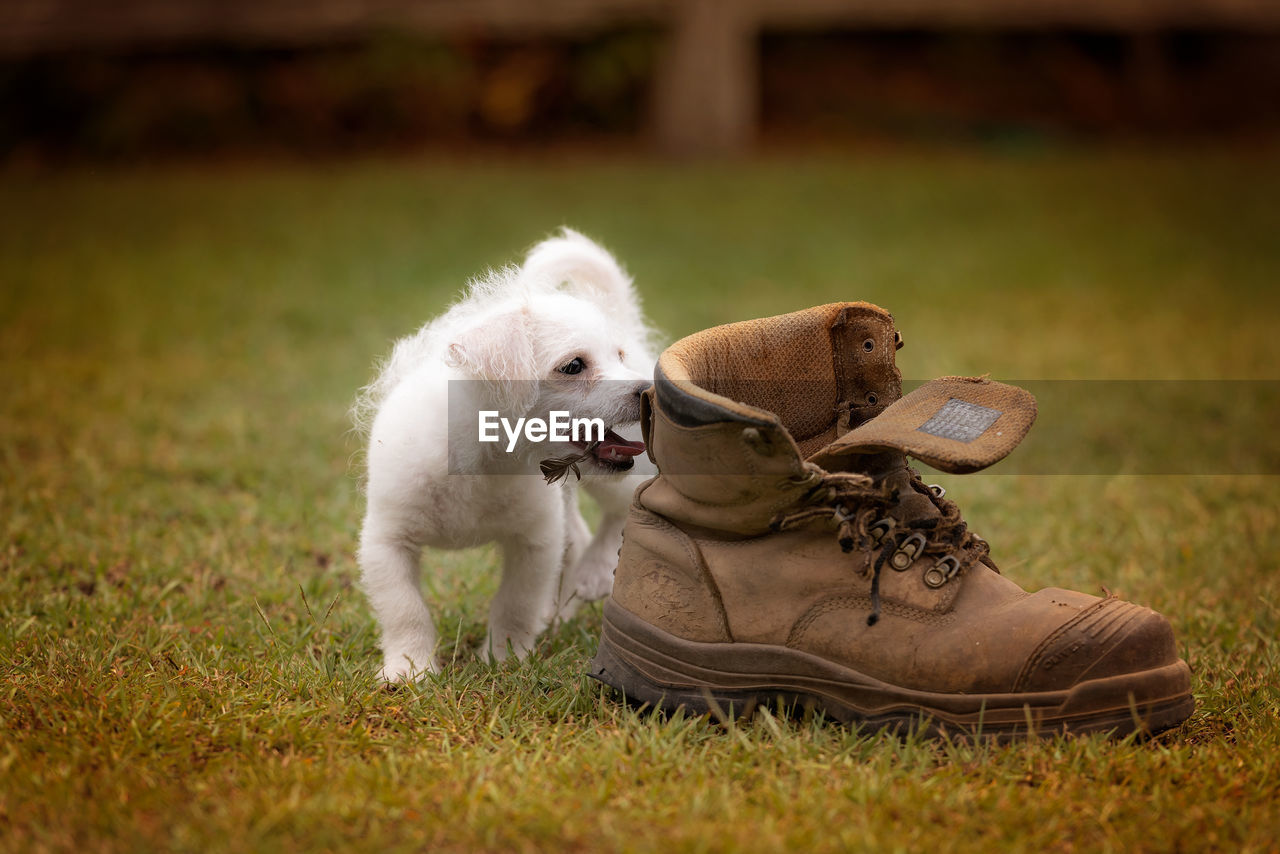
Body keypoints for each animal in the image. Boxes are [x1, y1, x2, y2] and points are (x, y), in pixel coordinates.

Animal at [353, 226, 660, 681]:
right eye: (573, 366)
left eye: (617, 356)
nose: (647, 389)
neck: (486, 461)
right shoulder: (386, 543)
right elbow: (405, 610)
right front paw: (409, 670)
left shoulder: (533, 541)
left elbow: (514, 605)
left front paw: (503, 659)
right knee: (579, 535)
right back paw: (559, 612)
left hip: (615, 475)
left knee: (621, 508)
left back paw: (594, 573)